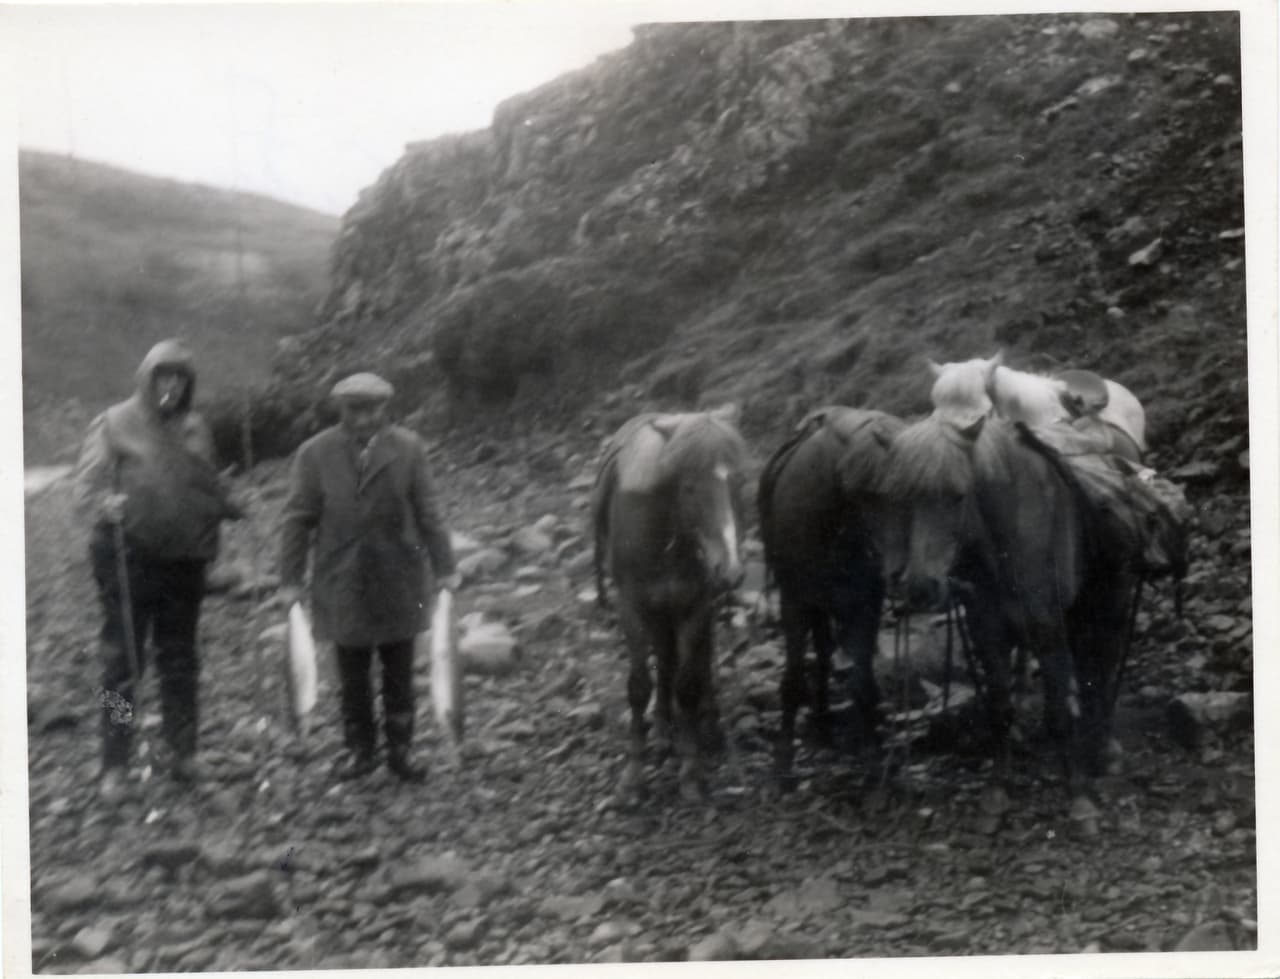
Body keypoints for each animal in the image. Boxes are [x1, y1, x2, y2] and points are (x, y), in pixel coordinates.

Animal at [588, 404, 747, 803]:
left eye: (737, 482)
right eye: (688, 487)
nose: (730, 570)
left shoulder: (696, 604)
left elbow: (688, 683)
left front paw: (692, 772)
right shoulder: (632, 606)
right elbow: (639, 684)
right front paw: (633, 776)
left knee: (699, 658)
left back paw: (708, 723)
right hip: (657, 611)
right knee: (664, 657)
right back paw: (661, 729)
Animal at [757, 404, 911, 778]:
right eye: (867, 493)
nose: (900, 571)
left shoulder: (866, 602)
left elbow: (862, 678)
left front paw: (872, 749)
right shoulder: (795, 602)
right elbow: (793, 678)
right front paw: (783, 763)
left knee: (827, 654)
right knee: (822, 654)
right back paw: (821, 724)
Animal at [880, 409, 1141, 824]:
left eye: (957, 496)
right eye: (899, 500)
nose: (921, 588)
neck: (1005, 537)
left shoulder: (1047, 627)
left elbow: (1060, 712)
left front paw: (1078, 797)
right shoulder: (987, 632)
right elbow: (1000, 709)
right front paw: (997, 791)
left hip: (1113, 596)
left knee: (1103, 665)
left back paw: (1106, 748)